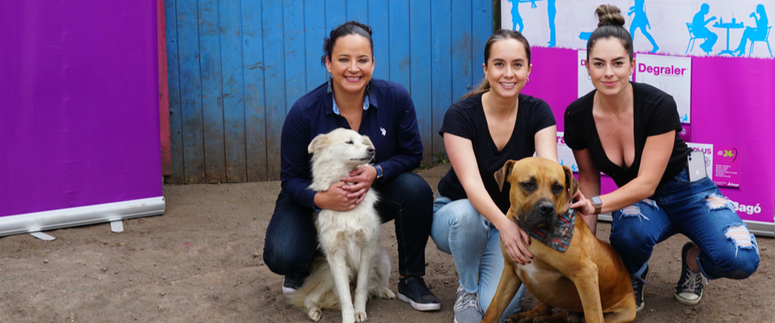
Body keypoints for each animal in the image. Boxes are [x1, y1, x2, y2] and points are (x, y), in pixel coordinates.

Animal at [288, 129, 394, 323]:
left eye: (363, 142)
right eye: (349, 142)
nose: (372, 150)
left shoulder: (367, 249)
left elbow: (362, 287)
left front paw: (359, 311)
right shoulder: (336, 256)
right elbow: (345, 296)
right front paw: (349, 317)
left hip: (382, 258)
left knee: (373, 285)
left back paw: (384, 291)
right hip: (329, 273)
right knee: (309, 298)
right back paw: (314, 311)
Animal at [484, 158, 636, 323]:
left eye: (558, 187)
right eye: (528, 184)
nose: (547, 209)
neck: (534, 234)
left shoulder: (586, 274)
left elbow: (593, 316)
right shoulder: (511, 270)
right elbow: (493, 308)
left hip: (622, 313)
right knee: (549, 310)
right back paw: (529, 316)